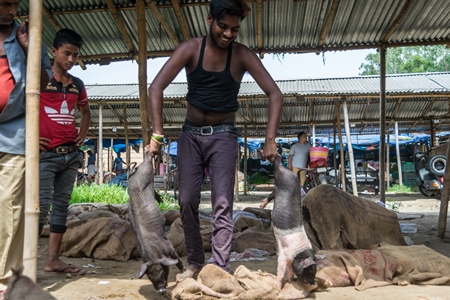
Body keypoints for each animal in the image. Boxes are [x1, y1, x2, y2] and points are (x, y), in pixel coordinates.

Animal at [126, 149, 183, 294]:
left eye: (162, 271)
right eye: (150, 277)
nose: (160, 290)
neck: (154, 253)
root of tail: (134, 171)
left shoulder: (169, 245)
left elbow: (176, 259)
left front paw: (183, 270)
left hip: (147, 170)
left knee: (148, 160)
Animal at [268, 154, 318, 290]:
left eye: (315, 271)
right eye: (309, 271)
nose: (313, 283)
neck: (299, 254)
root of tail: (293, 175)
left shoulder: (290, 259)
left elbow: (290, 269)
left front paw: (290, 280)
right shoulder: (284, 255)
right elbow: (281, 269)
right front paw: (277, 287)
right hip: (281, 175)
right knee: (277, 165)